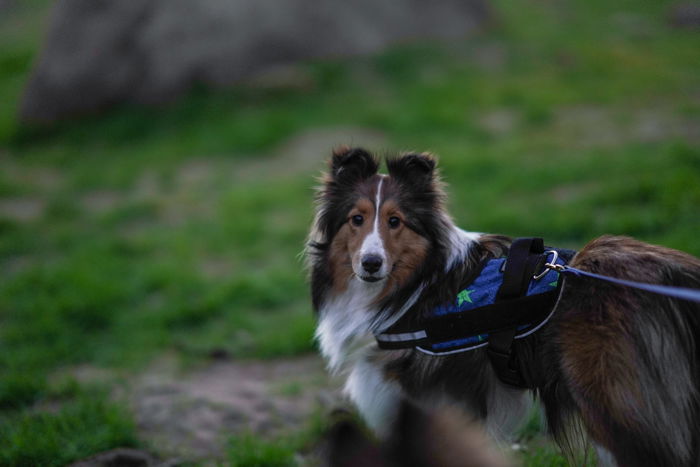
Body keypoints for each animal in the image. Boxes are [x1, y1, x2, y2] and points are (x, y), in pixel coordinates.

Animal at [306, 149, 700, 467]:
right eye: (356, 219)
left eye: (395, 221)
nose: (371, 264)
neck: (416, 285)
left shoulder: (435, 403)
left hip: (615, 406)